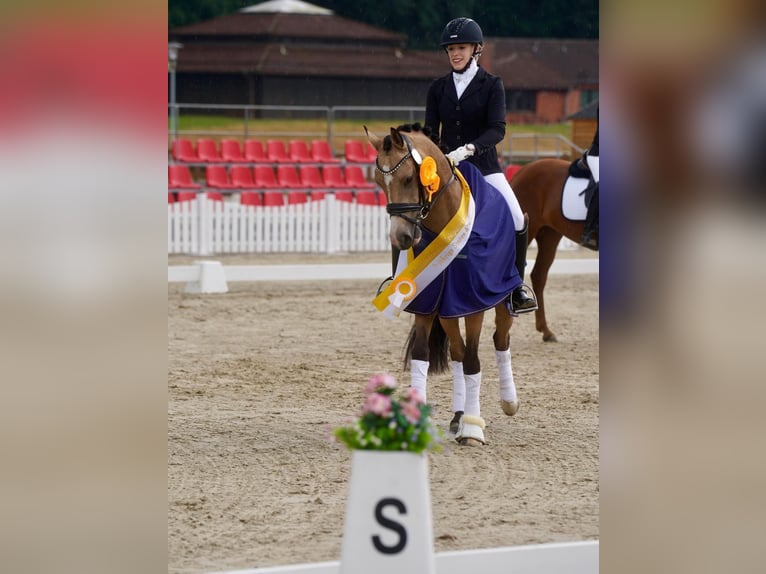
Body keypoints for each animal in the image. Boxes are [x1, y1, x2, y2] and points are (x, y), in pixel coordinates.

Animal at [368, 126, 524, 448]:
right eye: (378, 182)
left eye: (408, 179)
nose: (401, 237)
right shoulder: (428, 300)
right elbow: (423, 356)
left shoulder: (474, 301)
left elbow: (475, 361)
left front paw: (474, 432)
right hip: (448, 309)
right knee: (457, 351)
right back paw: (458, 416)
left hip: (501, 297)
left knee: (500, 340)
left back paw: (508, 402)